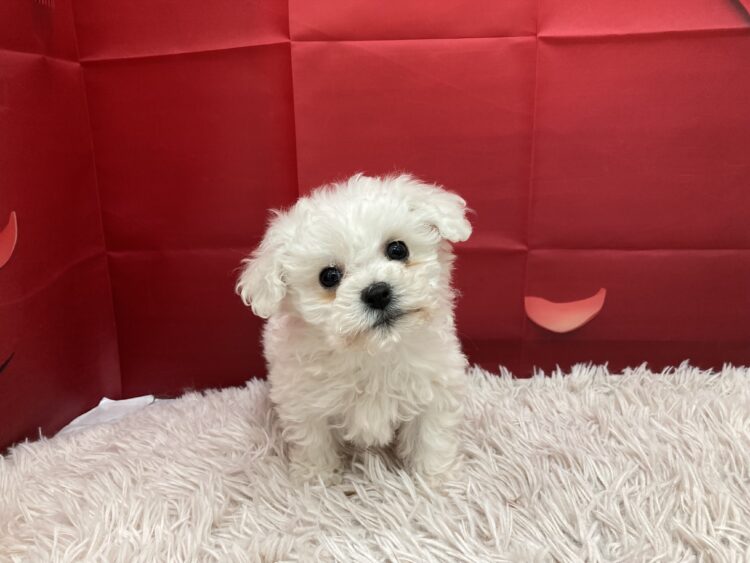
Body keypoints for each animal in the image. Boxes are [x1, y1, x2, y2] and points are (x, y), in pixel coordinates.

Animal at [236, 173, 472, 483]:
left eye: (398, 249)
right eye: (328, 276)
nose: (377, 293)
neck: (372, 353)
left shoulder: (436, 387)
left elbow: (431, 435)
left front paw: (437, 478)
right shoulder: (304, 402)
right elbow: (313, 440)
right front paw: (315, 479)